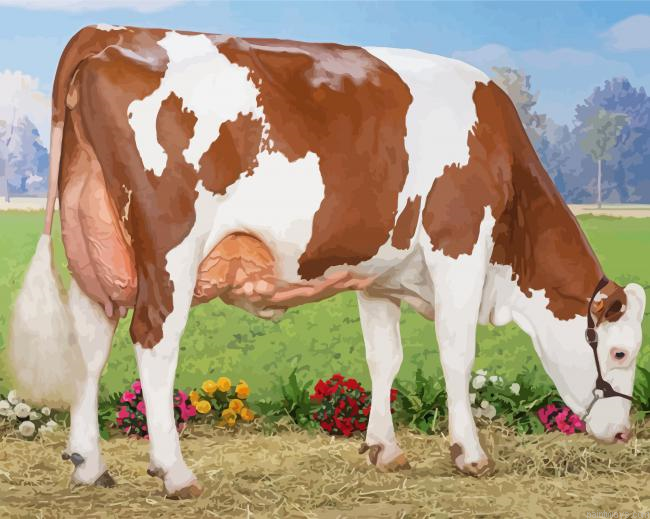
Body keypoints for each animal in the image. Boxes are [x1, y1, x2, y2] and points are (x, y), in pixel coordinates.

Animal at [8, 25, 645, 498]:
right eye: (619, 351)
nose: (621, 433)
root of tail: (110, 31)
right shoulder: (459, 247)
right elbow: (457, 354)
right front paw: (469, 454)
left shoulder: (380, 275)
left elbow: (384, 359)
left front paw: (385, 450)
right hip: (170, 249)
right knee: (153, 339)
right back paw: (175, 472)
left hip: (97, 245)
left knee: (91, 342)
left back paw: (89, 465)